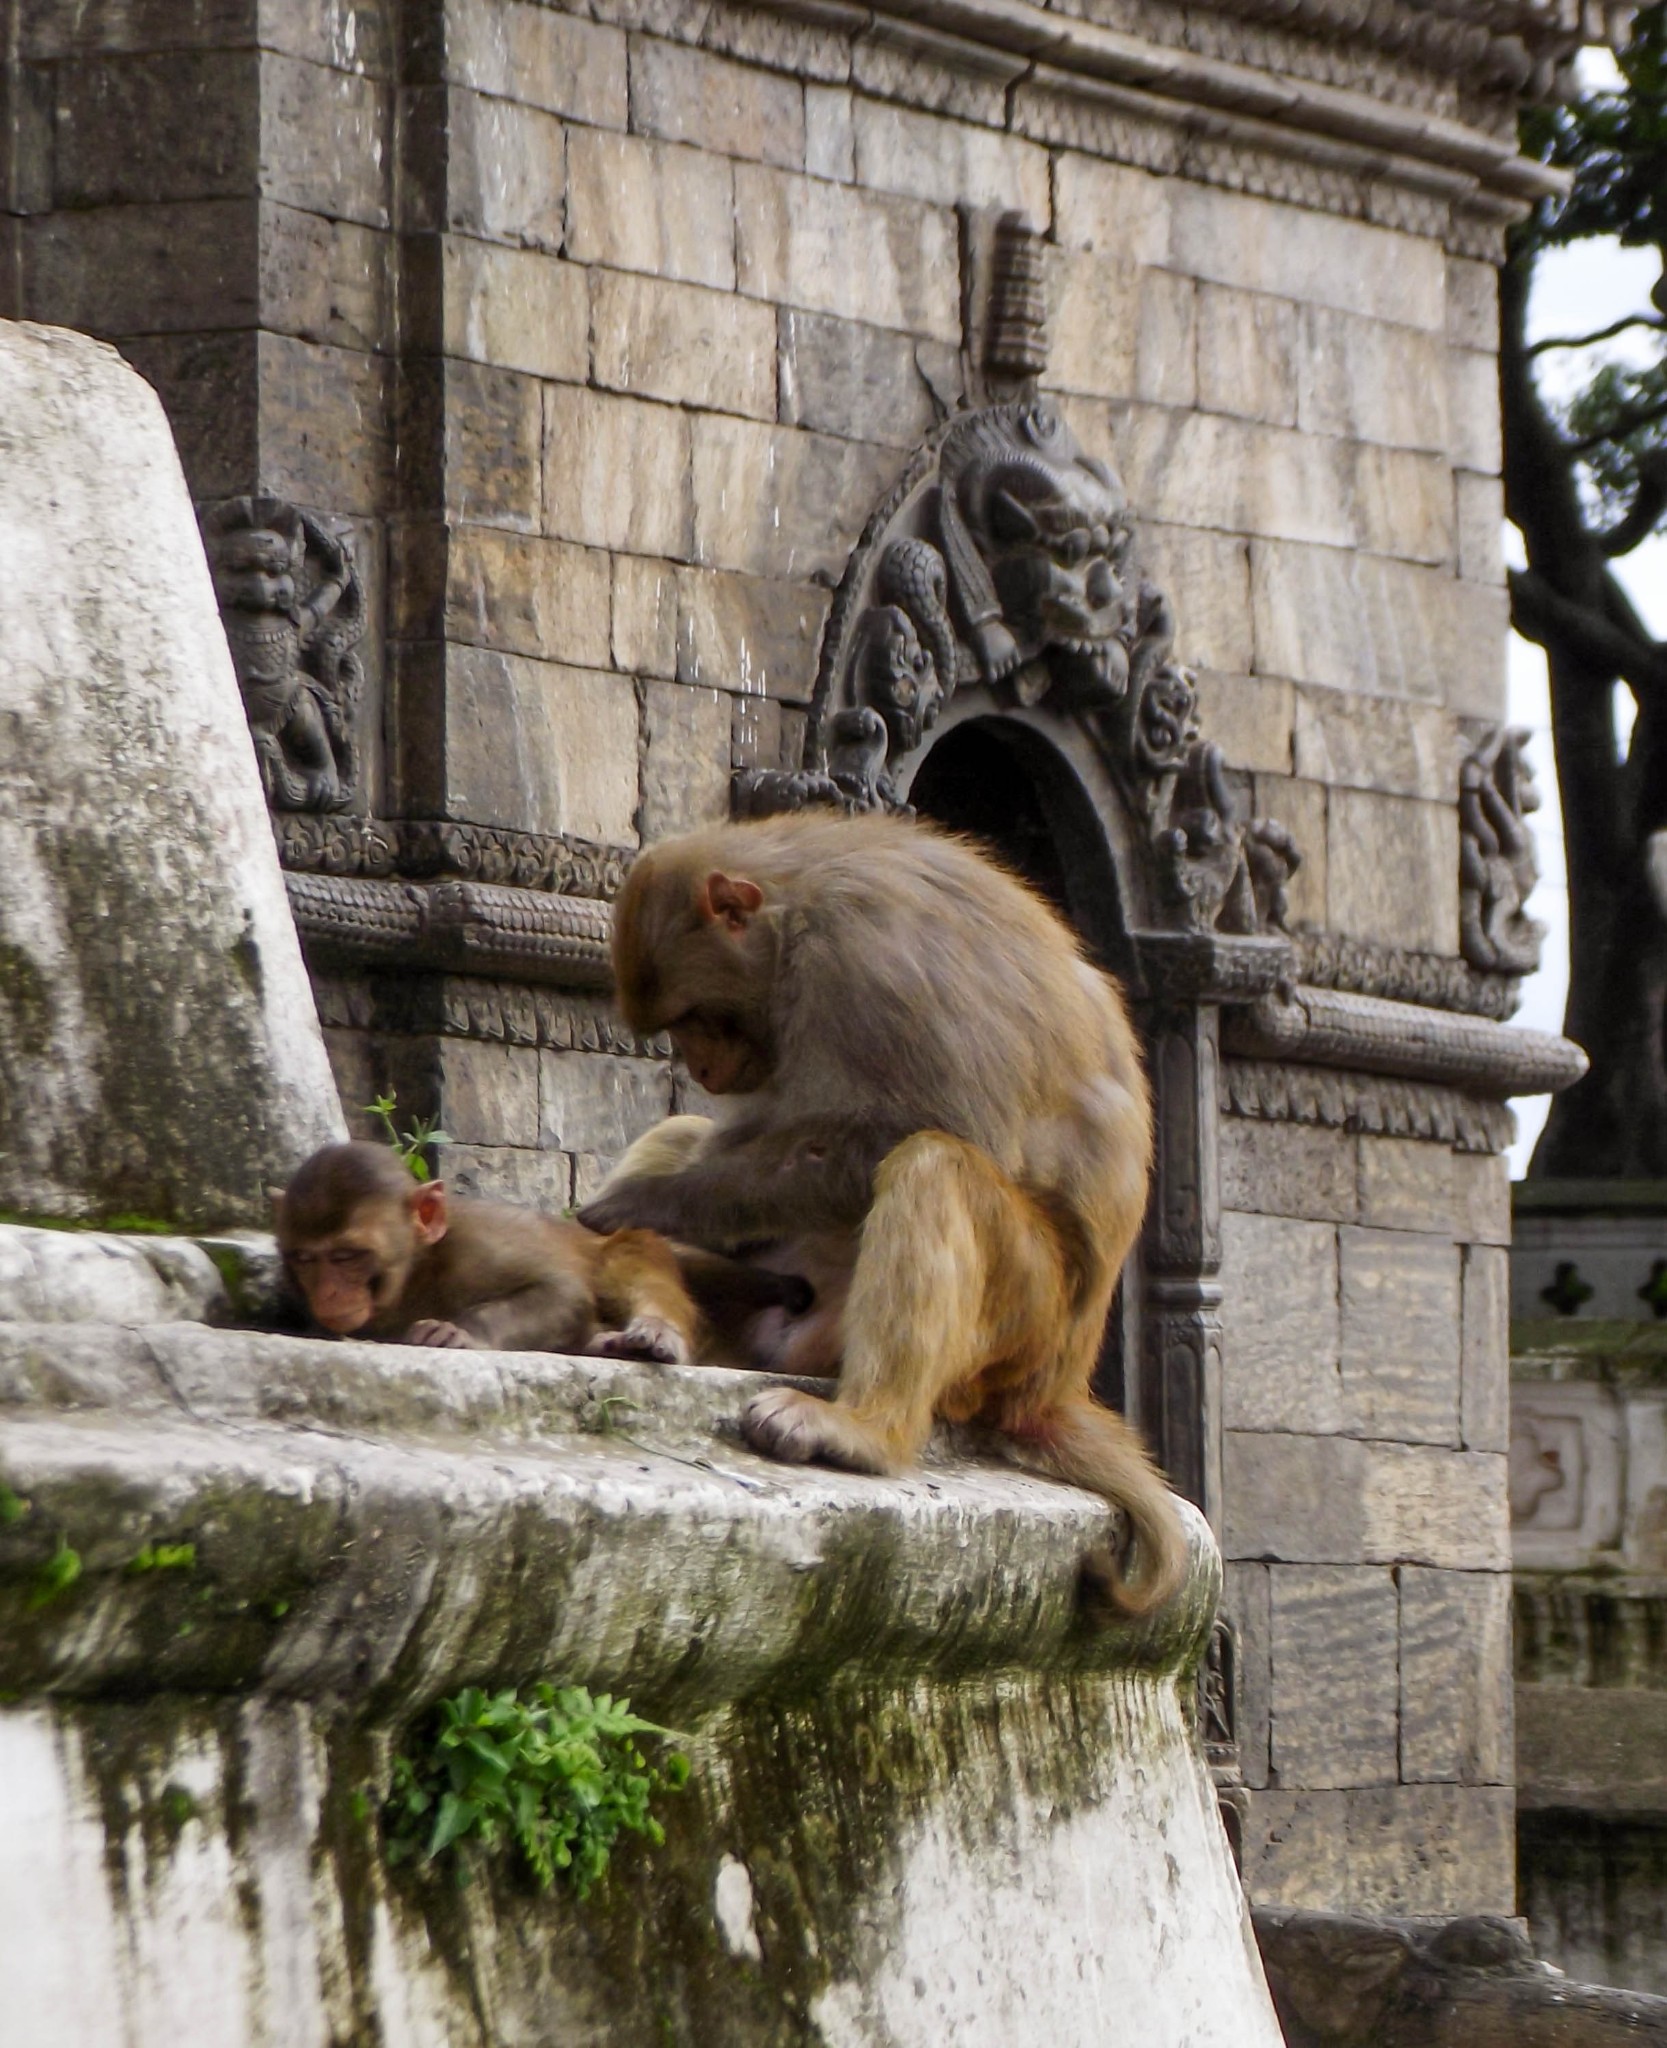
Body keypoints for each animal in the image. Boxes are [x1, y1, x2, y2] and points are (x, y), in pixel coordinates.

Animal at [274, 1146, 802, 1368]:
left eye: (348, 1255)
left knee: (628, 1253)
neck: (415, 1274)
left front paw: (459, 1332)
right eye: (305, 1259)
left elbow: (561, 1291)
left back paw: (654, 1331)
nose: (329, 1293)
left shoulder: (480, 1240)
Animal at [581, 806, 1195, 1605]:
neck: (794, 906)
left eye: (699, 1016)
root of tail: (1050, 1387)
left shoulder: (869, 957)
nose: (704, 1069)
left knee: (933, 1167)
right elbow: (730, 1133)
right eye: (680, 1027)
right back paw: (659, 1334)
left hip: (1021, 1322)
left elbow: (946, 1125)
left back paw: (865, 1431)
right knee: (689, 1135)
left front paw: (651, 1202)